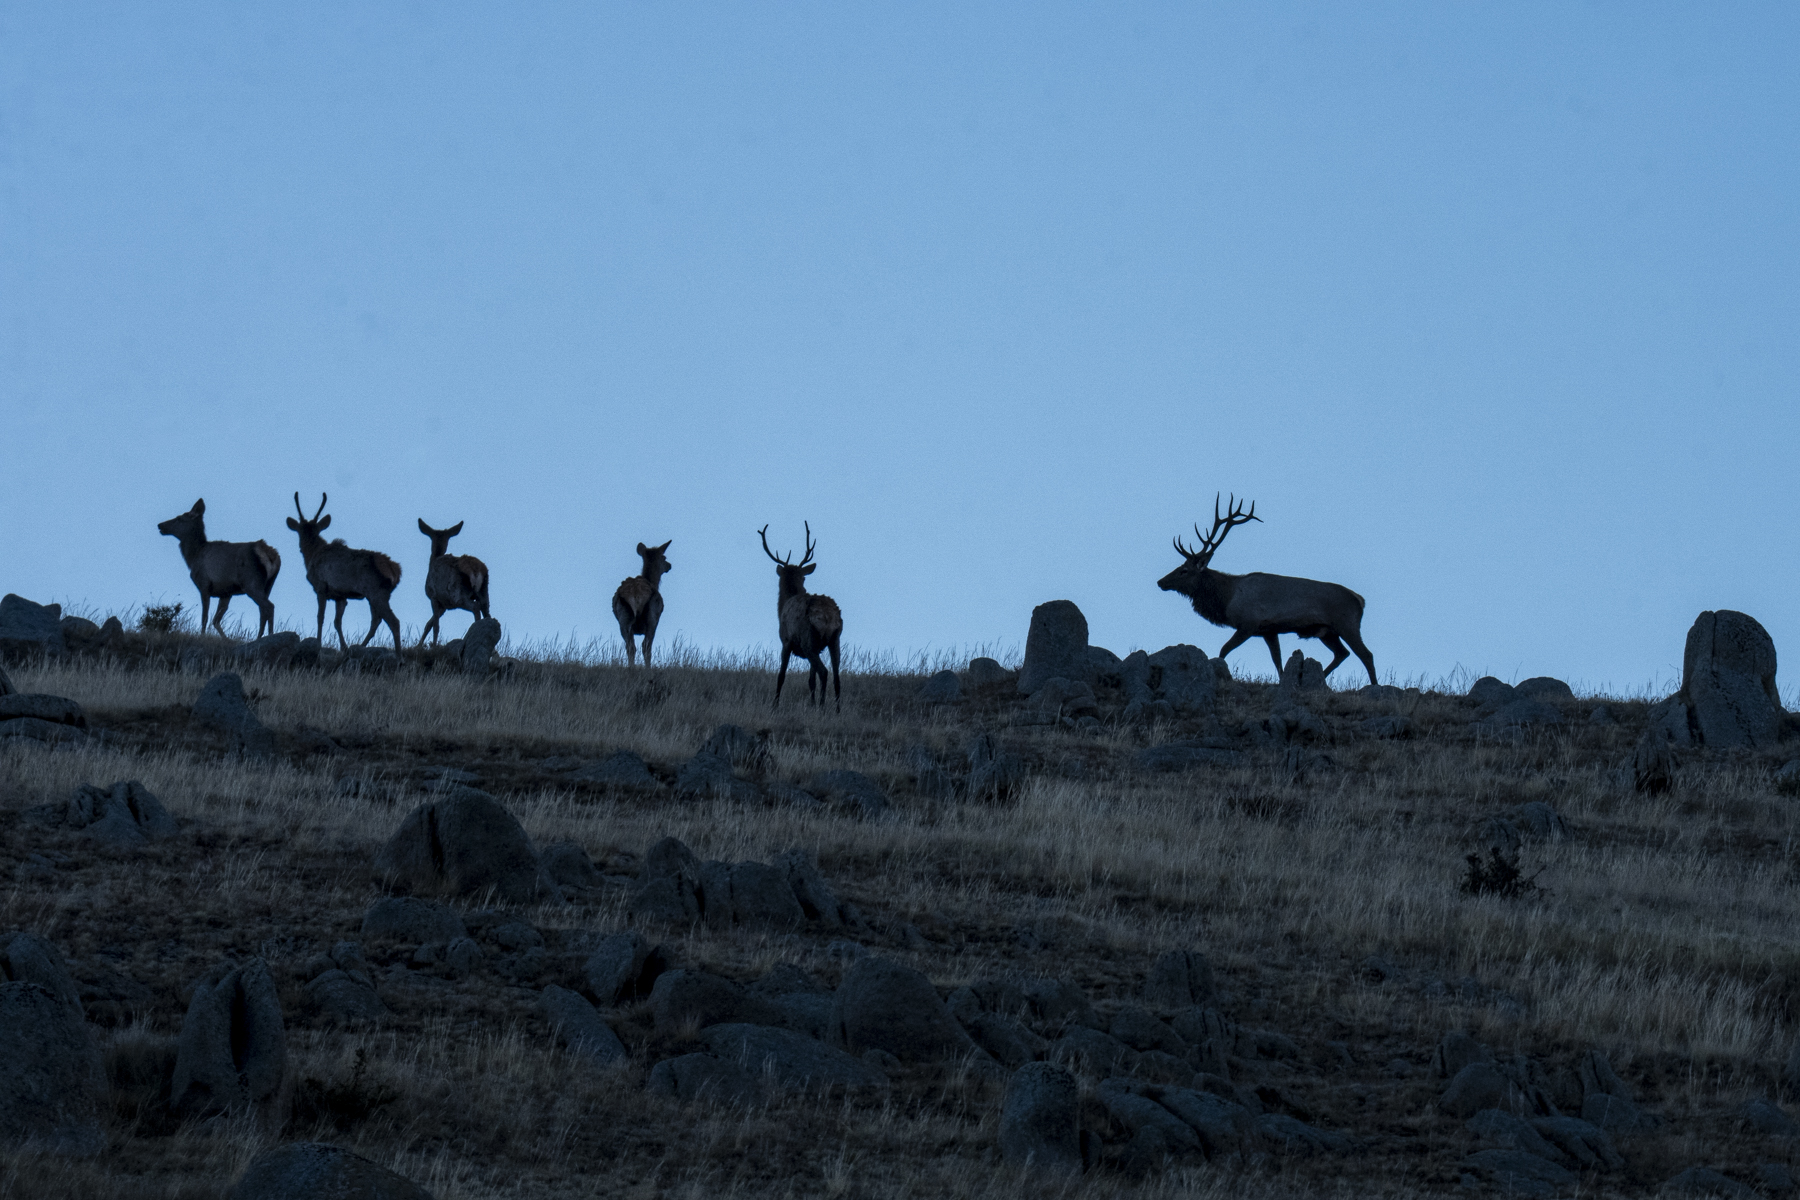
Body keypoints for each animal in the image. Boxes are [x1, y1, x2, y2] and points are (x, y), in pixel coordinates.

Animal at [156, 499, 283, 639]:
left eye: (179, 518)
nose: (160, 525)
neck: (193, 557)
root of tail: (271, 554)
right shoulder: (226, 592)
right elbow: (216, 620)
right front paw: (226, 639)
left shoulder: (204, 584)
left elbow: (205, 617)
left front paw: (202, 636)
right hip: (268, 585)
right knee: (263, 610)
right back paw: (260, 637)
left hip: (251, 582)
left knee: (269, 606)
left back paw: (268, 635)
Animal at [285, 493, 404, 653]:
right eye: (301, 530)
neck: (312, 554)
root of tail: (395, 570)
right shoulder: (340, 595)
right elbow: (337, 621)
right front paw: (343, 647)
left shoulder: (321, 586)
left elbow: (320, 617)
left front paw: (318, 643)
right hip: (376, 594)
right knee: (376, 620)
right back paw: (361, 646)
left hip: (375, 591)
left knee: (393, 621)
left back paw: (398, 655)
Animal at [758, 522, 842, 711]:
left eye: (803, 578)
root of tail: (827, 616)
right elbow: (810, 681)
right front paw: (810, 704)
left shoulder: (786, 641)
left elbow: (781, 675)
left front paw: (774, 706)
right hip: (835, 639)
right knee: (836, 676)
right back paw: (837, 710)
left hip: (808, 639)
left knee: (824, 672)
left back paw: (822, 708)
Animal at [1157, 493, 1378, 686]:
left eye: (1184, 571)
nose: (1160, 582)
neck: (1227, 598)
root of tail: (1360, 600)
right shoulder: (1269, 630)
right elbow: (1277, 660)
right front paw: (1284, 681)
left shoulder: (1248, 623)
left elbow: (1223, 650)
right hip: (1327, 632)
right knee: (1342, 653)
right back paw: (1318, 676)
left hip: (1346, 623)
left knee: (1366, 654)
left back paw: (1374, 685)